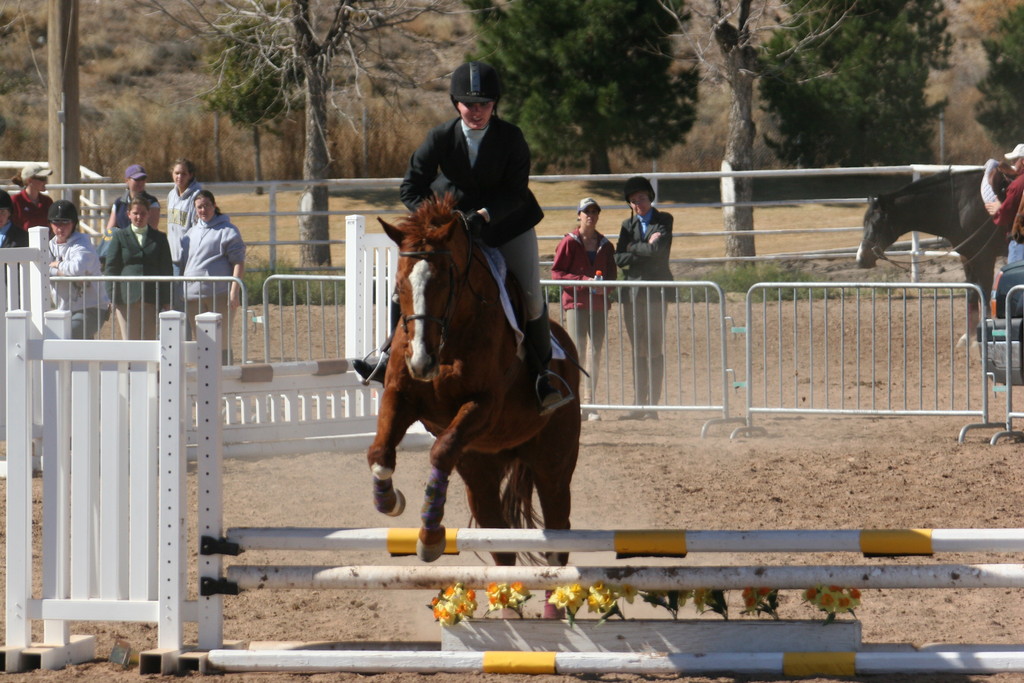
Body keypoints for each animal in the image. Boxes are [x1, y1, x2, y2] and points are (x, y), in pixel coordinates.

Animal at [368, 196, 581, 573]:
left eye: (443, 282)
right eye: (400, 285)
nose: (421, 363)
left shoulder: (483, 405)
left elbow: (440, 451)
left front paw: (429, 536)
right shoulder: (400, 395)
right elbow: (380, 453)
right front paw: (392, 501)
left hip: (552, 465)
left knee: (558, 532)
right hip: (481, 468)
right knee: (500, 539)